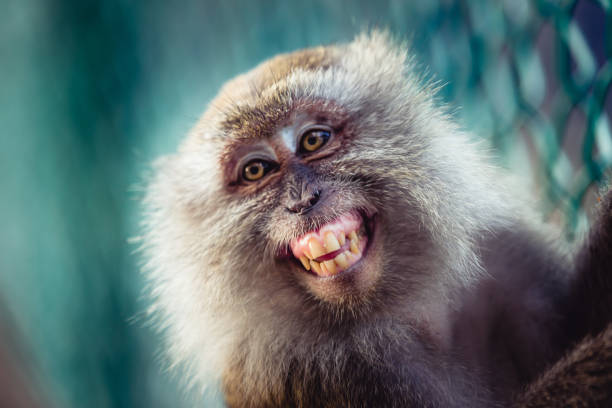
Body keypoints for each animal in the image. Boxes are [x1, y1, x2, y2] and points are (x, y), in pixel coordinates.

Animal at [141, 32, 612, 408]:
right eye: (256, 170)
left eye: (314, 140)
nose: (302, 200)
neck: (409, 314)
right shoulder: (302, 372)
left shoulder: (508, 256)